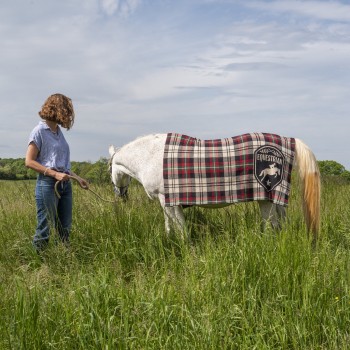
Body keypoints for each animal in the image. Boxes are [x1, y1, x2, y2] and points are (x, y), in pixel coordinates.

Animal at [108, 133, 320, 241]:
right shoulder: (166, 201)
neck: (150, 155)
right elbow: (169, 225)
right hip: (275, 199)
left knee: (271, 227)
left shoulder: (168, 199)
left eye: (109, 169)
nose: (120, 195)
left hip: (265, 199)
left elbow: (180, 227)